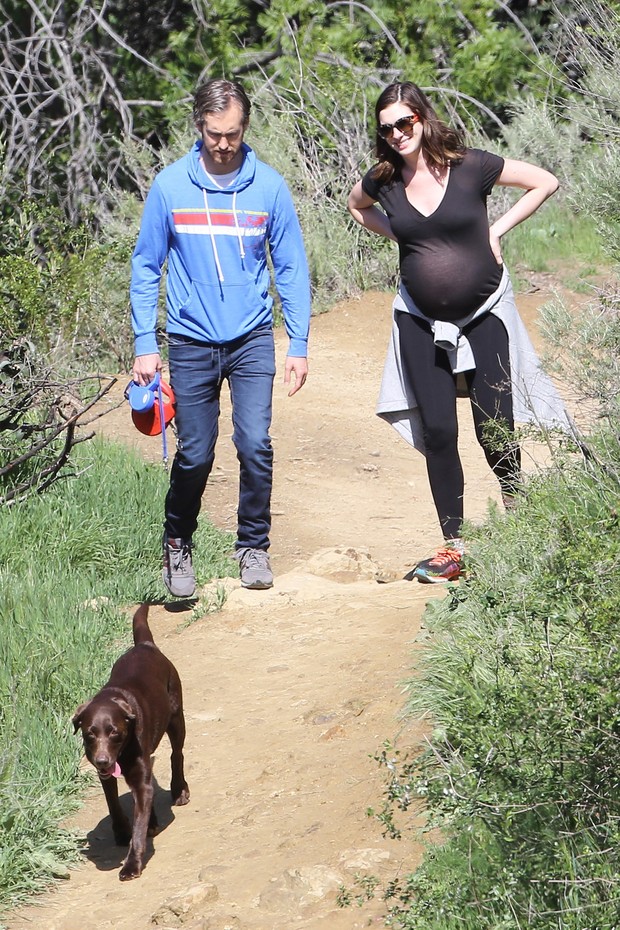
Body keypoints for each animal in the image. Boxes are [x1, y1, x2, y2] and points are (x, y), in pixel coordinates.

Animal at [72, 600, 189, 876]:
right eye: (90, 733)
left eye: (114, 731)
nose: (103, 761)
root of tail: (145, 645)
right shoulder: (108, 778)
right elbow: (114, 804)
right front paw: (122, 832)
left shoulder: (139, 775)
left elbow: (139, 824)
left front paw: (132, 863)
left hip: (176, 718)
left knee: (176, 754)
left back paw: (179, 790)